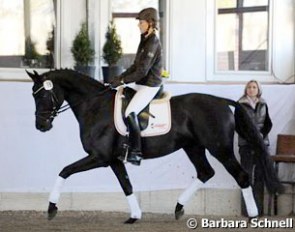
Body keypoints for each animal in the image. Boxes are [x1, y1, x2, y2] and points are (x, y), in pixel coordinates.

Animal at [27, 69, 282, 223]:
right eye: (33, 95)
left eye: (42, 96)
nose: (40, 125)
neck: (95, 106)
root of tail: (221, 101)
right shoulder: (113, 160)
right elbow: (126, 185)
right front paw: (135, 216)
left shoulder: (99, 157)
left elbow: (65, 171)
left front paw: (51, 208)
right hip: (193, 147)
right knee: (205, 172)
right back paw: (178, 208)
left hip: (220, 149)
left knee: (241, 176)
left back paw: (253, 216)